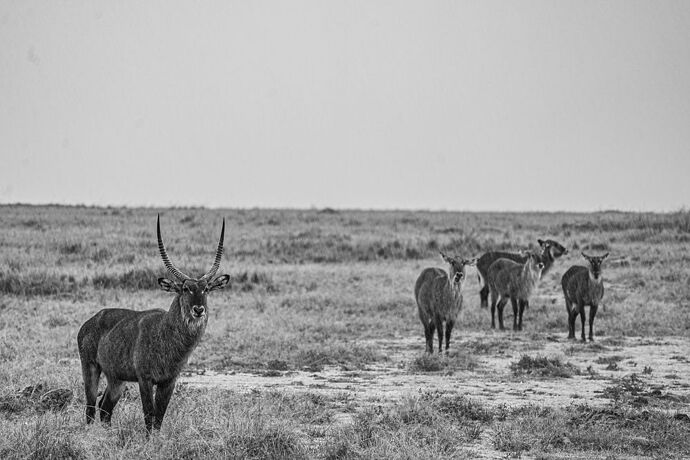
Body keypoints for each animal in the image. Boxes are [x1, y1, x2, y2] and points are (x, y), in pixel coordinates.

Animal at [77, 215, 230, 432]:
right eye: (185, 288)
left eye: (206, 288)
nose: (199, 309)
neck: (166, 335)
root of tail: (90, 321)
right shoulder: (145, 379)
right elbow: (149, 416)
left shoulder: (169, 381)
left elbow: (159, 418)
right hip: (90, 367)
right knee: (90, 407)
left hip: (116, 378)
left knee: (105, 407)